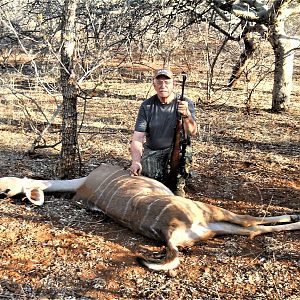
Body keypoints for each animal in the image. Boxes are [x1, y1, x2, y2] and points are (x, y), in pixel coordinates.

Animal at [0, 164, 298, 272]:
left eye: (6, 185)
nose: (3, 191)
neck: (82, 183)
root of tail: (170, 233)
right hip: (209, 213)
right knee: (250, 222)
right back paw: (296, 214)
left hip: (211, 228)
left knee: (252, 230)